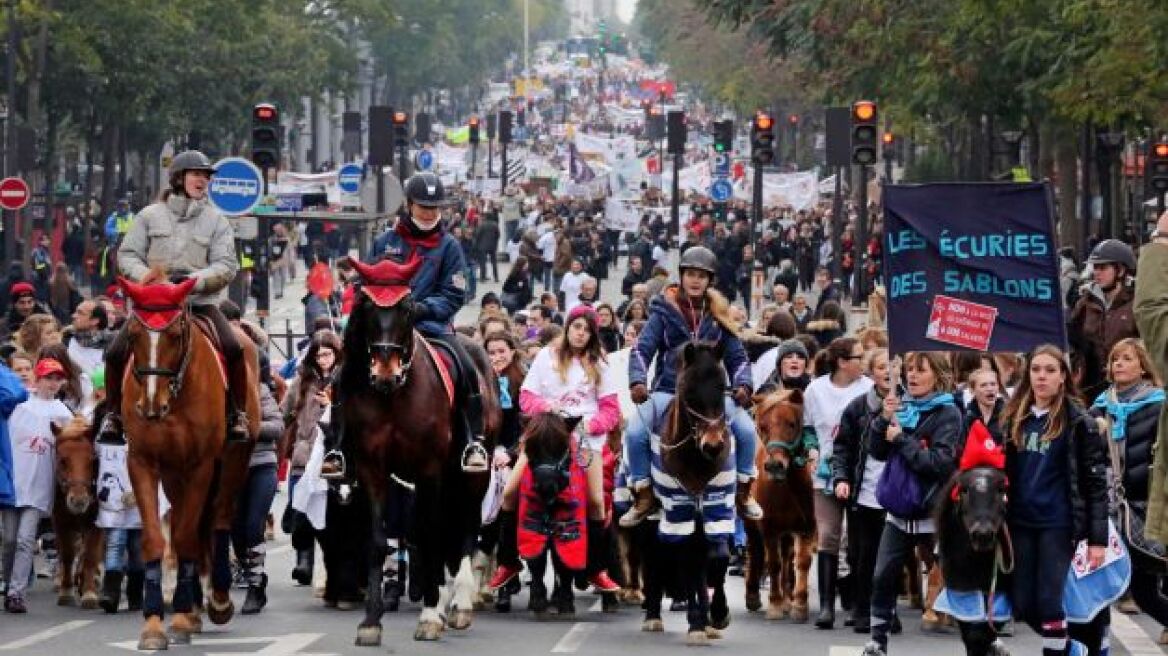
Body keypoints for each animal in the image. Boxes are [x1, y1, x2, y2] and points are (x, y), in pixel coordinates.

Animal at [51, 413, 103, 606]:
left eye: (93, 461)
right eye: (62, 461)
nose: (79, 500)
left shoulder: (95, 521)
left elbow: (90, 555)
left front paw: (89, 592)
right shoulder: (60, 521)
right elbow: (67, 554)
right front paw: (66, 591)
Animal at [115, 276, 259, 648]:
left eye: (175, 334)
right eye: (133, 334)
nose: (151, 405)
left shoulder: (200, 466)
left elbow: (186, 535)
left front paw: (180, 616)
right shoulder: (143, 463)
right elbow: (158, 537)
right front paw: (155, 624)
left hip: (234, 460)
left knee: (219, 518)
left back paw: (218, 599)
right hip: (172, 474)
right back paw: (195, 604)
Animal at [341, 255, 499, 644]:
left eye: (408, 307)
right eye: (367, 306)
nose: (385, 371)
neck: (393, 396)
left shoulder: (429, 468)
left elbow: (430, 534)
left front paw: (429, 615)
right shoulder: (373, 469)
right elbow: (380, 540)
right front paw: (371, 621)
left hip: (472, 475)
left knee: (464, 526)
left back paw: (460, 603)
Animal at [640, 338, 728, 644]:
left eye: (723, 387)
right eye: (688, 392)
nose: (713, 445)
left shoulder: (717, 508)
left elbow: (715, 557)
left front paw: (715, 616)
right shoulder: (679, 509)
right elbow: (688, 560)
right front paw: (696, 623)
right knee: (655, 557)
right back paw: (653, 616)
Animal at [742, 385, 817, 620]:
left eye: (792, 423)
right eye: (763, 426)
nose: (775, 465)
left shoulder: (807, 527)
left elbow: (801, 562)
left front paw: (799, 605)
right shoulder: (769, 529)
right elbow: (773, 564)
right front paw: (774, 604)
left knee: (787, 558)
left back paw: (787, 599)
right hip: (751, 525)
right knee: (755, 551)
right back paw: (754, 596)